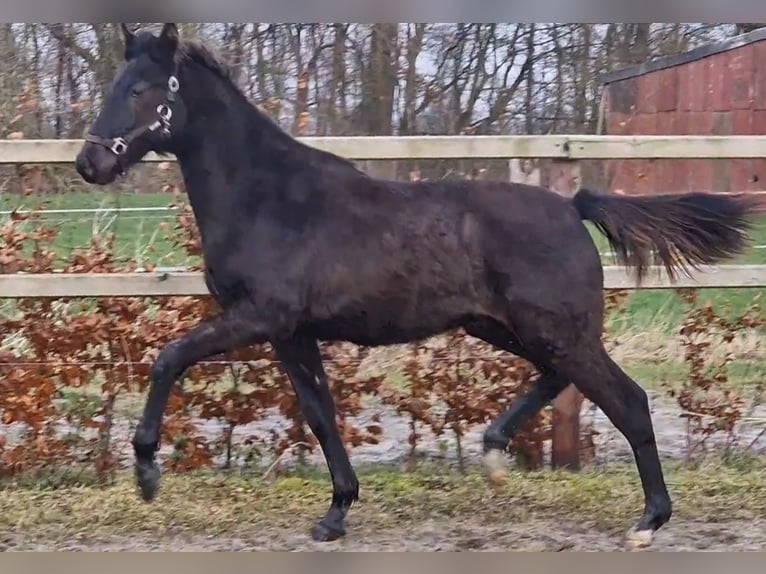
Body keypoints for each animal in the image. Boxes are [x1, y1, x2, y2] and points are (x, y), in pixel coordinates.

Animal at [74, 23, 759, 548]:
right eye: (113, 85)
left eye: (140, 89)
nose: (89, 163)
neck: (269, 199)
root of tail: (573, 208)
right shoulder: (292, 333)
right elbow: (319, 414)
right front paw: (336, 514)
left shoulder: (258, 316)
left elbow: (168, 359)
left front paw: (147, 474)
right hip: (507, 327)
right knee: (559, 380)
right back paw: (495, 452)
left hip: (557, 332)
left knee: (629, 401)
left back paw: (648, 521)